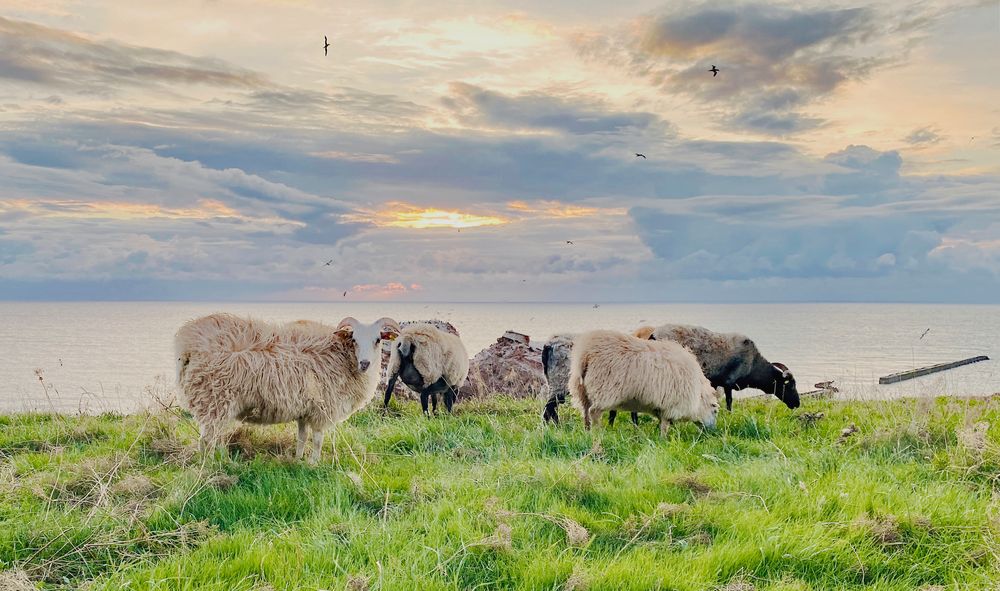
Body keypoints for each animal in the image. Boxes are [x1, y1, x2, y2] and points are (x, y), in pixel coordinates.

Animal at [176, 314, 398, 462]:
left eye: (378, 340)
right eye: (354, 339)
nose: (365, 364)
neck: (342, 358)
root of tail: (187, 347)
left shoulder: (305, 409)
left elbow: (302, 437)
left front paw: (298, 460)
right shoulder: (322, 410)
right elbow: (318, 440)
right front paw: (314, 464)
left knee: (211, 440)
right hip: (214, 401)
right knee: (206, 441)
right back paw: (212, 466)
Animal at [568, 330, 716, 438]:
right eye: (714, 408)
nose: (713, 431)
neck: (697, 393)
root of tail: (585, 354)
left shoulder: (661, 406)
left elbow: (662, 422)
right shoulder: (670, 405)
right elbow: (665, 425)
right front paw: (663, 440)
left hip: (582, 391)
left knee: (585, 413)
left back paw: (587, 432)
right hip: (604, 390)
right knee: (594, 412)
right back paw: (597, 433)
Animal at [636, 324, 800, 412]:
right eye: (791, 386)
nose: (797, 404)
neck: (754, 365)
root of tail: (653, 334)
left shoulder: (715, 382)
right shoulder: (728, 382)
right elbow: (729, 401)